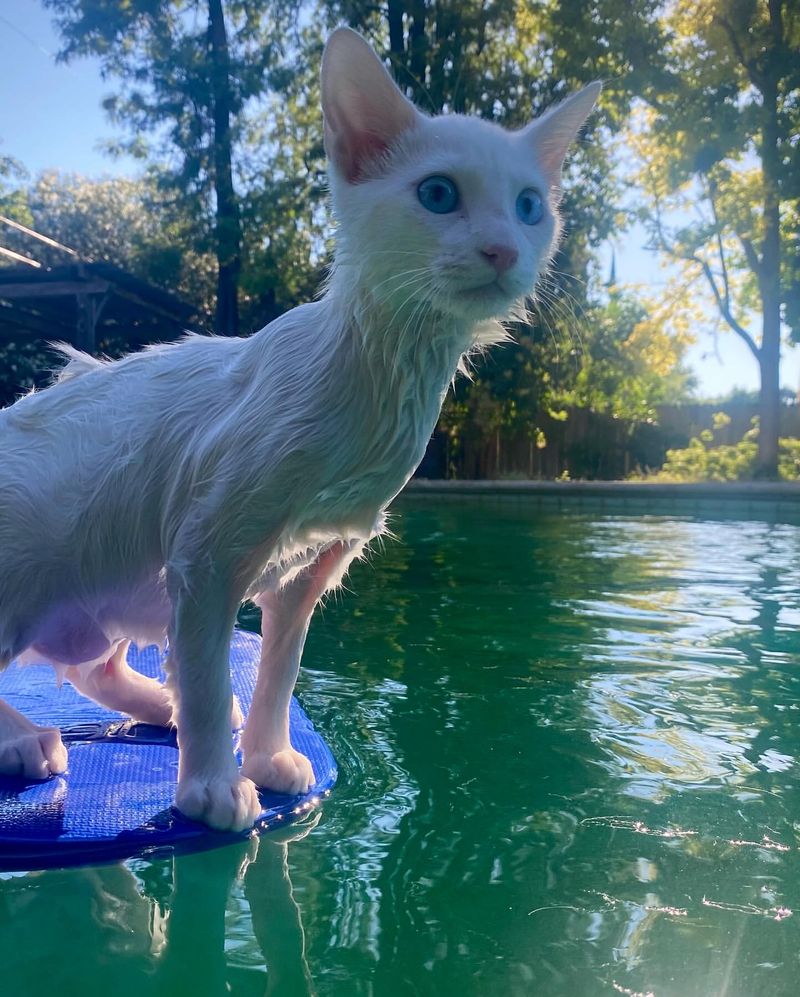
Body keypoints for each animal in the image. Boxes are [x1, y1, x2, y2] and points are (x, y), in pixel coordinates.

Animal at [0, 27, 596, 828]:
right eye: (438, 194)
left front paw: (266, 754)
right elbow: (211, 661)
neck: (377, 388)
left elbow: (279, 665)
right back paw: (28, 739)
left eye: (531, 206)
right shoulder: (206, 549)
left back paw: (158, 702)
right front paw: (213, 787)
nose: (504, 249)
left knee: (91, 661)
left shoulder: (313, 560)